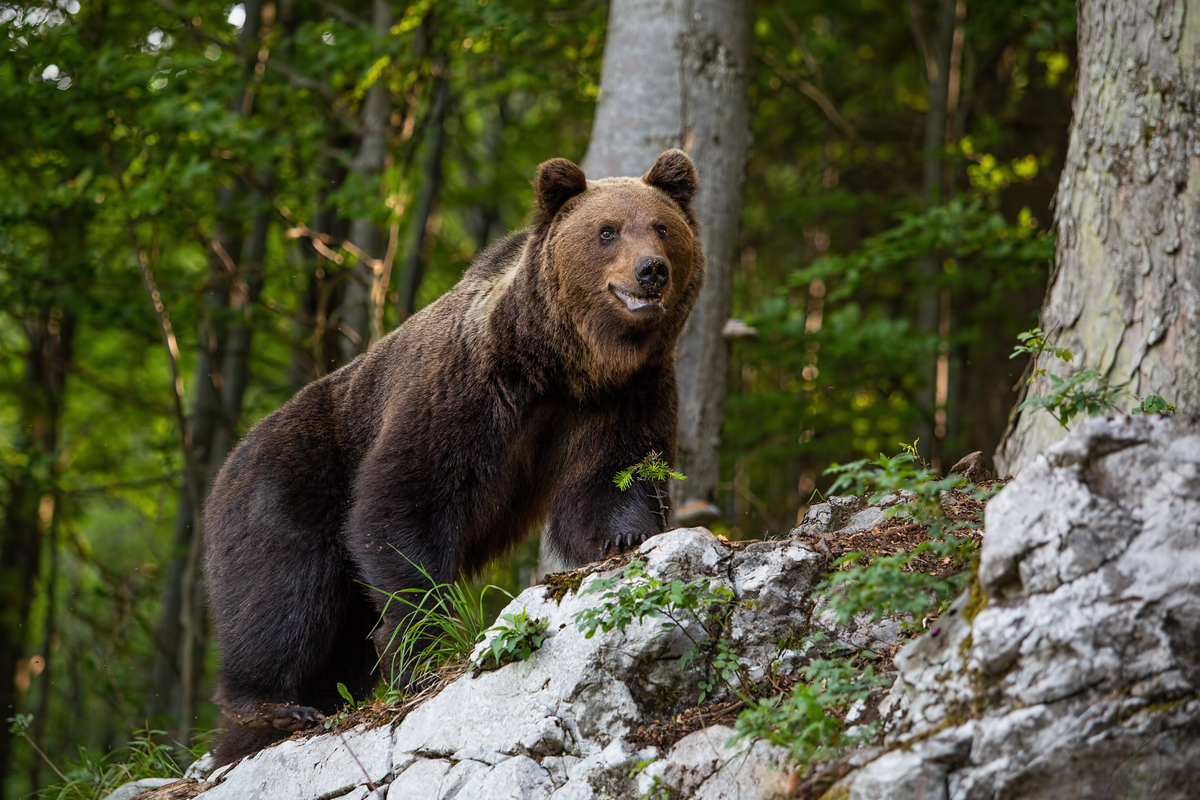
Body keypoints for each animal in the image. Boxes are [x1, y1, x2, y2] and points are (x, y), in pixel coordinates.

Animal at [199, 148, 700, 762]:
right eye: (607, 231)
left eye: (661, 226)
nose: (651, 269)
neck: (561, 363)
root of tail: (228, 462)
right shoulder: (465, 389)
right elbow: (404, 503)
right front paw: (428, 641)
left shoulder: (621, 395)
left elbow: (612, 475)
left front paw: (626, 536)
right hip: (289, 480)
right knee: (282, 593)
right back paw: (270, 706)